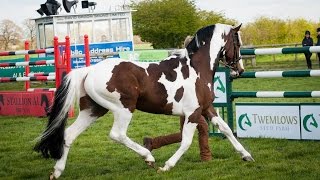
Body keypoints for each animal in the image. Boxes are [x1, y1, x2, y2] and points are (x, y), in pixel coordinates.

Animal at [35, 22, 254, 179]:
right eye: (238, 43)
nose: (240, 70)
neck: (197, 68)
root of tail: (89, 70)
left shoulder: (206, 108)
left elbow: (226, 129)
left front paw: (246, 156)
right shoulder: (193, 113)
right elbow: (186, 141)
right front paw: (166, 167)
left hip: (93, 110)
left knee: (69, 135)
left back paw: (57, 171)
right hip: (124, 109)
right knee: (117, 134)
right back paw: (148, 157)